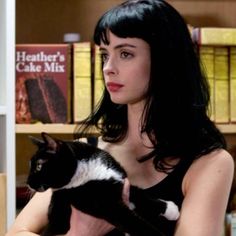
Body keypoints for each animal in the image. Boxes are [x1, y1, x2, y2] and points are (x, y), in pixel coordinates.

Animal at [27, 132, 179, 235]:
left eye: (39, 166)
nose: (28, 183)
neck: (87, 169)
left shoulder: (120, 180)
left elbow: (140, 194)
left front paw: (171, 209)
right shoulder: (105, 204)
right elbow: (132, 221)